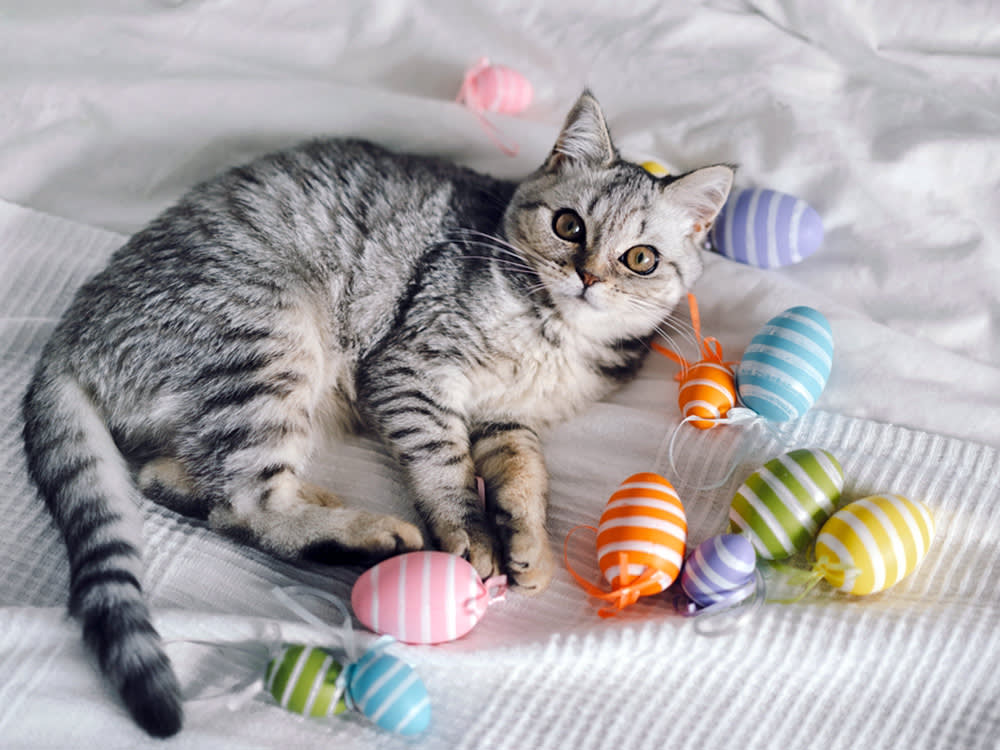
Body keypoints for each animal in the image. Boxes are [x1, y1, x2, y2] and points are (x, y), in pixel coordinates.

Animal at [21, 89, 736, 740]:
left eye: (639, 258)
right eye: (568, 225)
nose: (587, 277)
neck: (553, 337)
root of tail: (70, 336)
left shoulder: (506, 417)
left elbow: (524, 471)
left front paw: (527, 537)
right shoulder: (409, 369)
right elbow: (445, 464)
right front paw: (473, 533)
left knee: (179, 481)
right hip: (268, 336)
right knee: (248, 502)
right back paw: (365, 536)